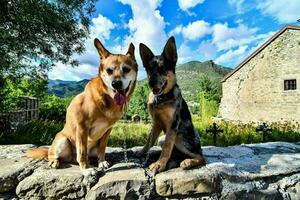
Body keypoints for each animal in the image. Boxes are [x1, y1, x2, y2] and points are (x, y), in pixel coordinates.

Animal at [27, 38, 137, 170]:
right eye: (109, 71)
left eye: (126, 69)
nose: (116, 84)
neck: (106, 98)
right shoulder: (82, 127)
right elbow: (82, 151)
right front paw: (86, 169)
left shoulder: (107, 131)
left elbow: (102, 148)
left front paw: (101, 162)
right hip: (63, 140)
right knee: (53, 154)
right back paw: (55, 161)